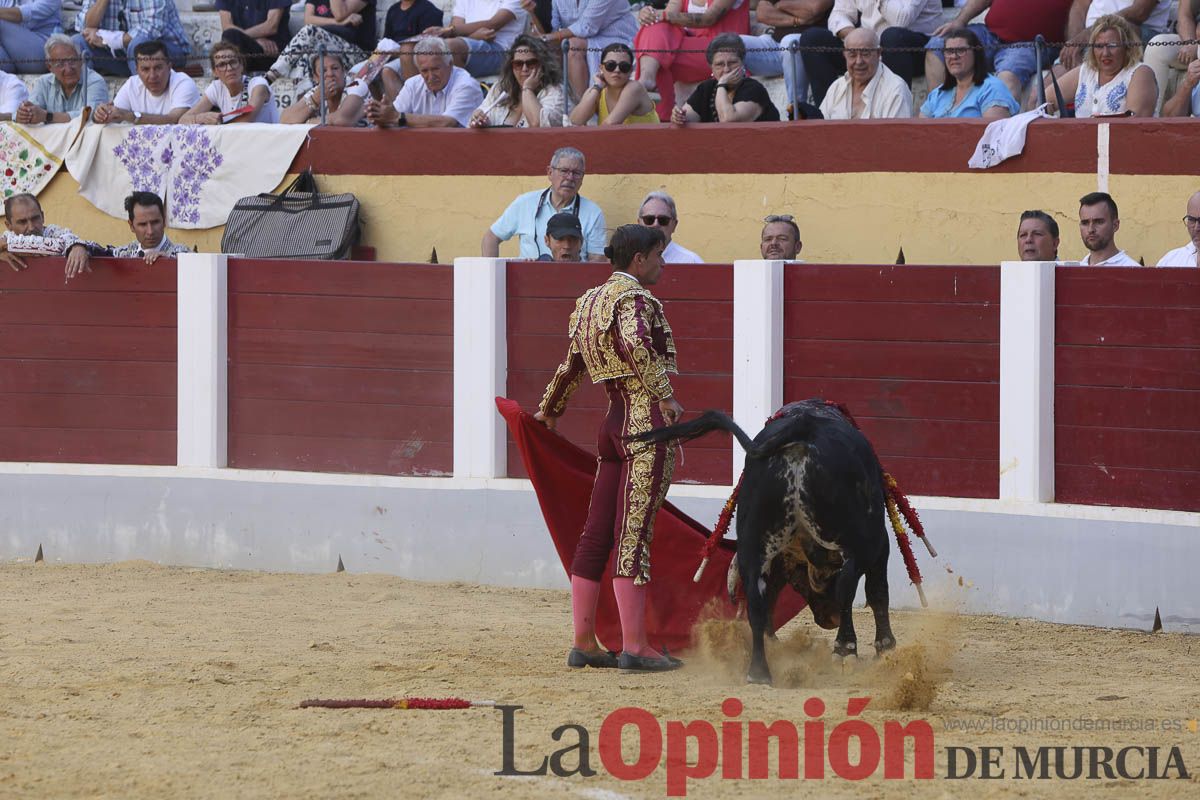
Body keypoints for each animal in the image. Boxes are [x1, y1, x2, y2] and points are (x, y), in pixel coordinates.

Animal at [633, 402, 897, 686]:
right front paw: (885, 646)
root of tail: (804, 427)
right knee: (848, 587)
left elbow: (770, 596)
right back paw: (845, 650)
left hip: (755, 546)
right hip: (856, 541)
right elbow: (877, 591)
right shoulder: (881, 543)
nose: (829, 619)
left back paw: (759, 671)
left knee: (756, 602)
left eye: (798, 584)